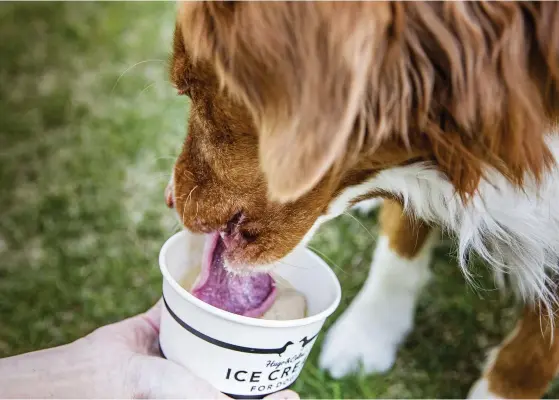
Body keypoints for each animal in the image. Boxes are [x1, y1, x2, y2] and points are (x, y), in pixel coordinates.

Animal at [164, 2, 559, 396]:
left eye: (190, 88)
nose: (169, 198)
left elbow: (536, 348)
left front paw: (500, 390)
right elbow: (399, 246)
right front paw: (368, 334)